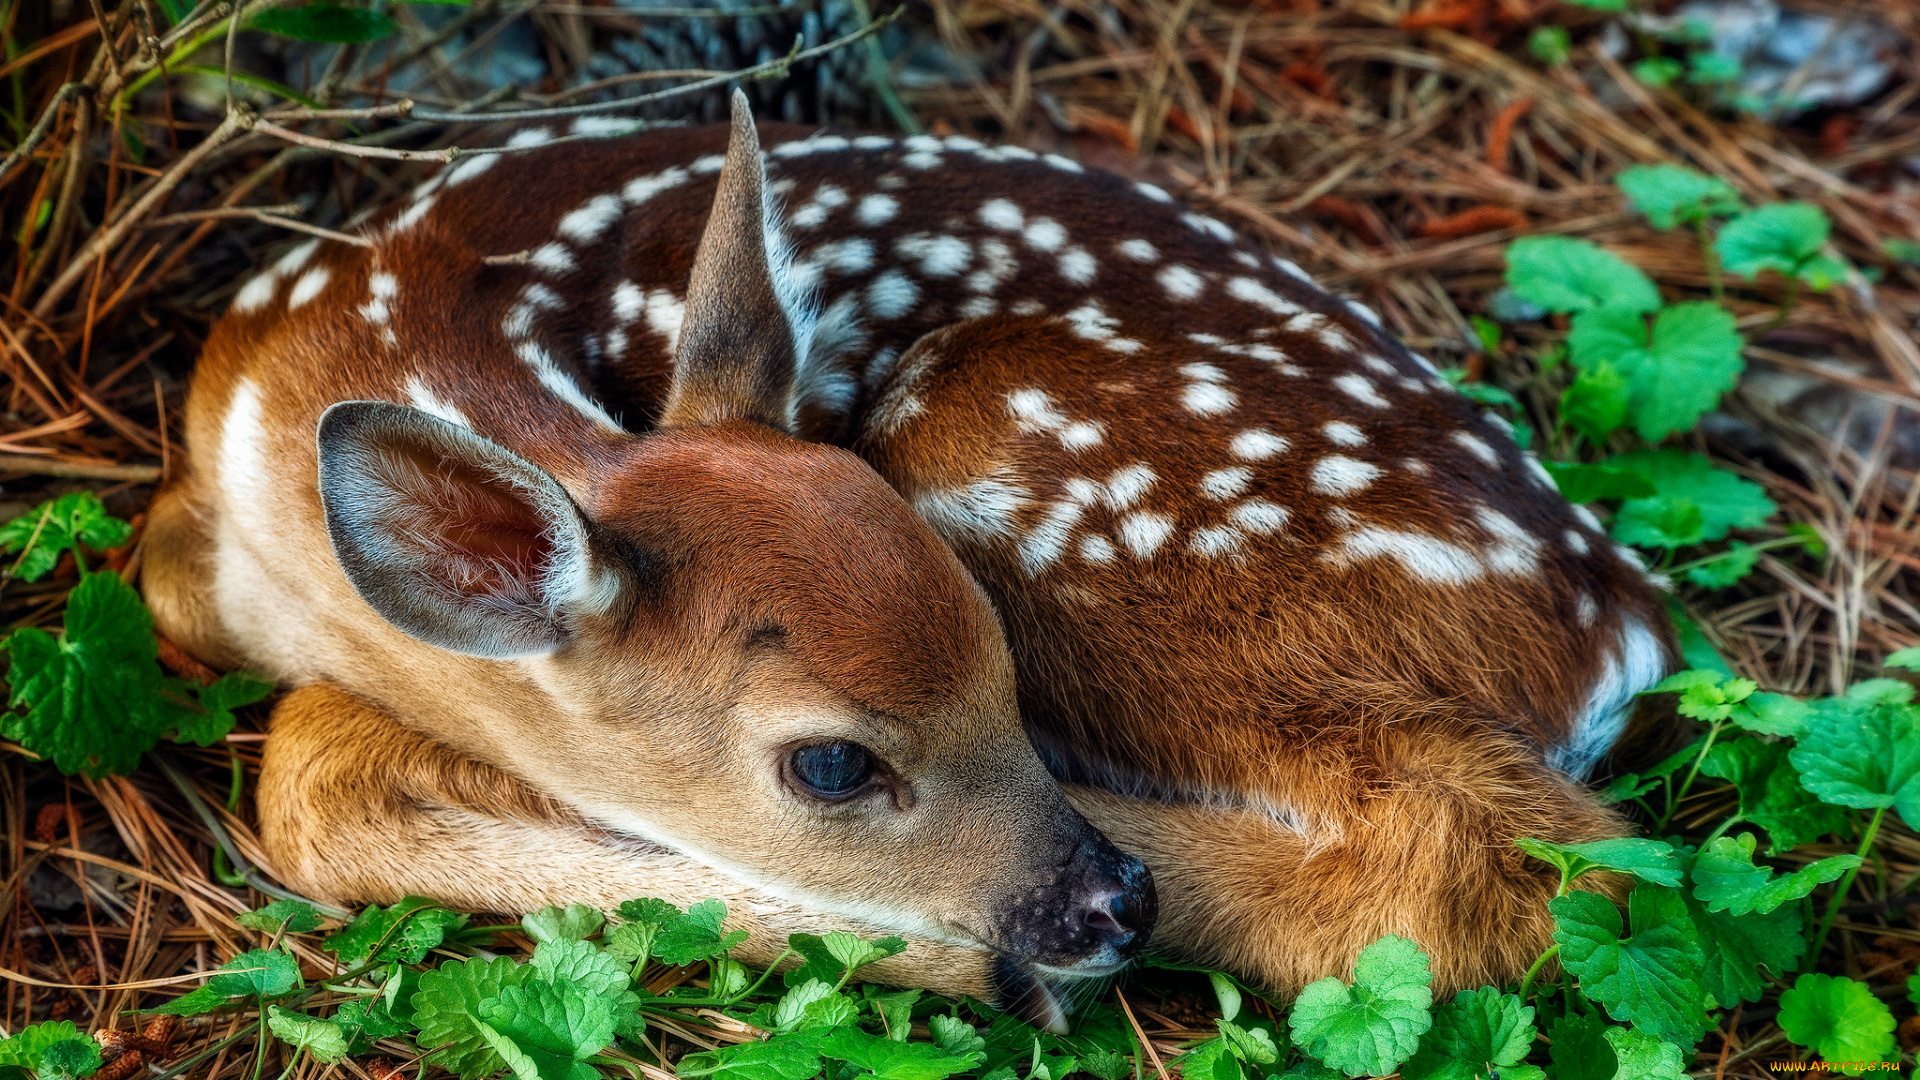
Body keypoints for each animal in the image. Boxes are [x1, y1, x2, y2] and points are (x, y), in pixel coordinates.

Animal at [145, 90, 1666, 1014]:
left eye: (1003, 668)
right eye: (830, 764)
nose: (1116, 903)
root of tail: (1626, 632)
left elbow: (313, 769)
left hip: (1036, 461)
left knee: (1474, 856)